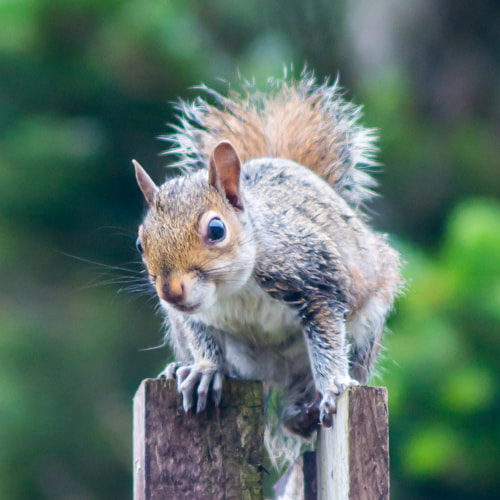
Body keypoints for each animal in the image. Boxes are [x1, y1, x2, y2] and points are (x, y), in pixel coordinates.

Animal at [132, 71, 402, 464]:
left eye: (217, 230)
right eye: (140, 243)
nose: (171, 291)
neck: (231, 289)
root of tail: (272, 376)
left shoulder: (314, 274)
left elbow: (326, 335)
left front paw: (333, 385)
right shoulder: (188, 317)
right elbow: (202, 336)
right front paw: (205, 370)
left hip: (363, 331)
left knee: (305, 391)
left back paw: (302, 410)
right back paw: (181, 367)